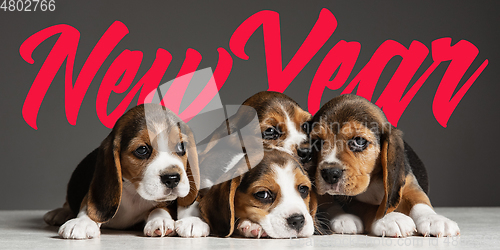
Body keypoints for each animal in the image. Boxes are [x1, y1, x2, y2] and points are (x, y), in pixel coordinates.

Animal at [41, 104, 201, 240]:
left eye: (181, 146)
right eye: (142, 150)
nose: (172, 178)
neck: (135, 193)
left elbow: (160, 207)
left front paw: (160, 219)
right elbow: (89, 207)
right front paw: (82, 222)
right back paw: (59, 213)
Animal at [308, 94, 460, 237]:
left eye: (359, 141)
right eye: (317, 142)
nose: (329, 173)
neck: (373, 179)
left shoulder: (409, 185)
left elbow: (420, 201)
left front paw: (434, 219)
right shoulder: (349, 200)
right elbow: (370, 208)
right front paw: (392, 218)